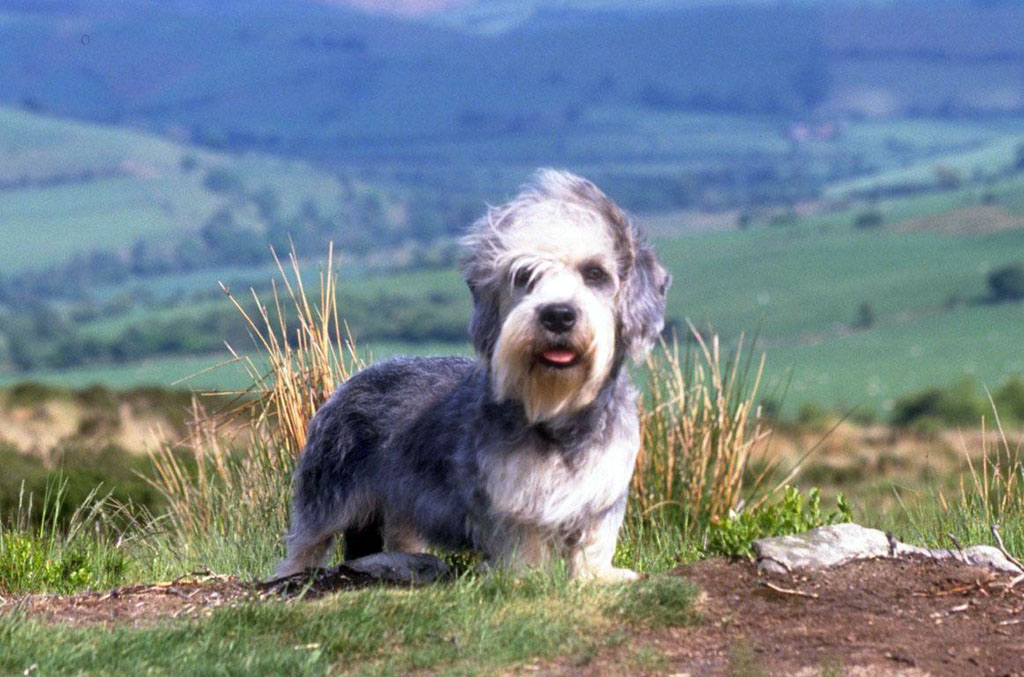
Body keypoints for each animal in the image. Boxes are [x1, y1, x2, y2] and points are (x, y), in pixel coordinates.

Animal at [276, 168, 667, 581]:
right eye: (524, 275)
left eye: (595, 273)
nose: (558, 315)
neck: (557, 412)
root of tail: (349, 383)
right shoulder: (510, 497)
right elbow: (522, 541)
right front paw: (523, 578)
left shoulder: (601, 490)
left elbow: (594, 541)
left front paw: (598, 577)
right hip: (328, 491)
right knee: (305, 542)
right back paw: (293, 575)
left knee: (400, 534)